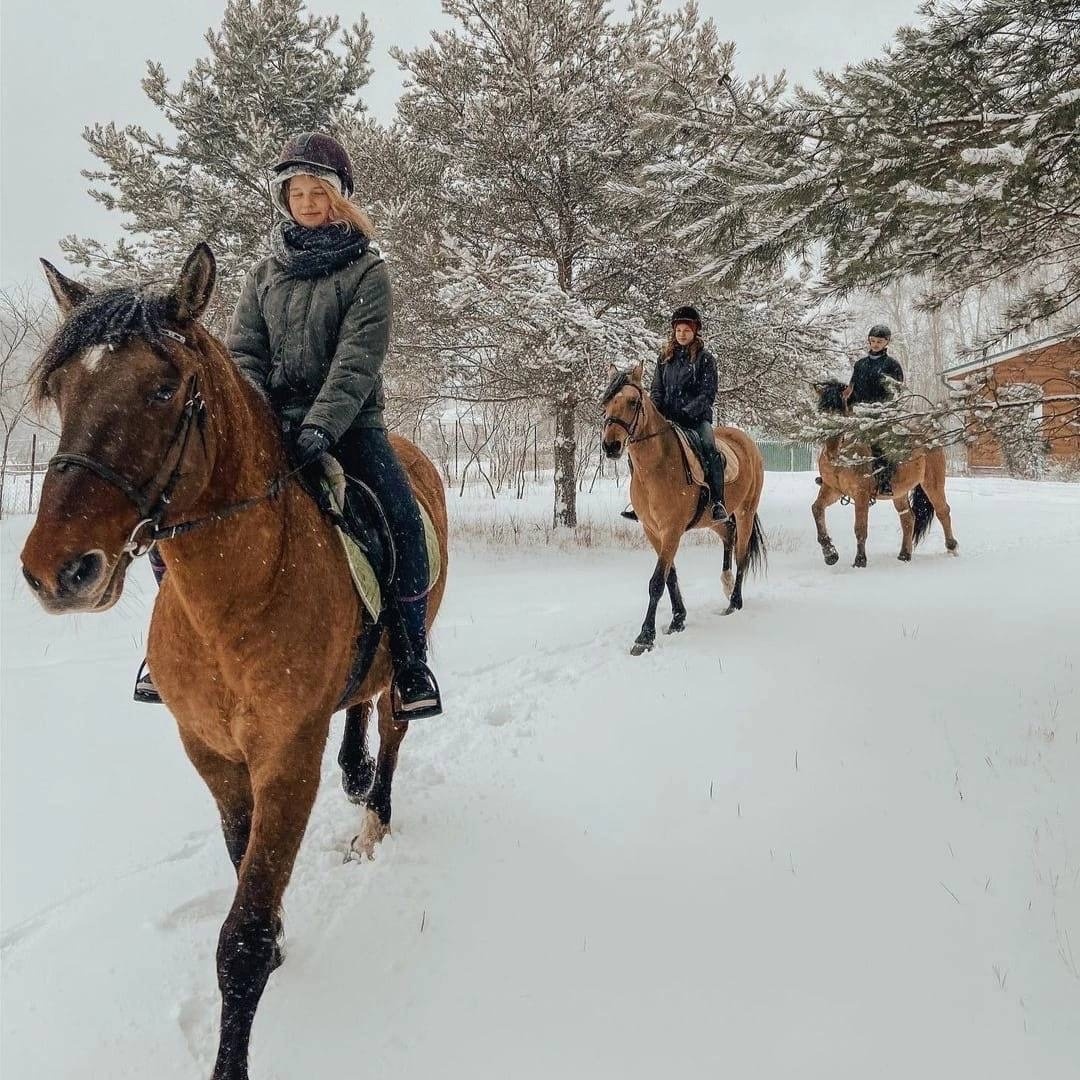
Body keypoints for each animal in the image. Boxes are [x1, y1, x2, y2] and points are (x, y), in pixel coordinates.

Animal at [21, 248, 451, 1080]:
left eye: (163, 388)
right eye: (60, 389)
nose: (56, 570)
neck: (238, 593)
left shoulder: (286, 758)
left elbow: (241, 941)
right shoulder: (212, 753)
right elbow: (241, 857)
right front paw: (280, 933)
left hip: (407, 663)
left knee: (392, 727)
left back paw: (373, 818)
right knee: (359, 707)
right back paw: (355, 776)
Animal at [600, 362, 768, 652]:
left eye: (633, 402)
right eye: (607, 401)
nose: (611, 446)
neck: (655, 466)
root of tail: (746, 440)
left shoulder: (671, 530)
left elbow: (657, 581)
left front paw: (645, 637)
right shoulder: (653, 531)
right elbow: (670, 576)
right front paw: (678, 620)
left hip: (746, 511)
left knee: (742, 554)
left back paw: (734, 602)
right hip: (714, 519)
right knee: (729, 535)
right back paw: (726, 583)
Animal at [812, 378, 963, 570]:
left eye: (841, 418)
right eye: (820, 416)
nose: (831, 453)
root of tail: (930, 435)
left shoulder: (861, 494)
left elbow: (860, 528)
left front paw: (860, 561)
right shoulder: (832, 489)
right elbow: (817, 509)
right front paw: (830, 554)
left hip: (932, 483)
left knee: (943, 511)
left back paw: (952, 547)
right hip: (899, 492)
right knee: (908, 518)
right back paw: (904, 555)